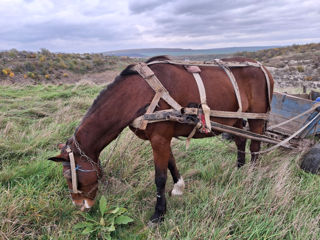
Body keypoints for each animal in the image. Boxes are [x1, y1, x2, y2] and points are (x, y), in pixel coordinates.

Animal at [48, 55, 274, 222]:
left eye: (70, 177)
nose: (80, 206)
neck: (139, 93)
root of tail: (263, 68)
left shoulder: (159, 138)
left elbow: (159, 177)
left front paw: (158, 213)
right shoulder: (163, 138)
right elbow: (171, 163)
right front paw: (179, 187)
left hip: (256, 118)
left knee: (255, 146)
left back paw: (252, 175)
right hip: (234, 119)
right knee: (240, 141)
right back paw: (239, 169)